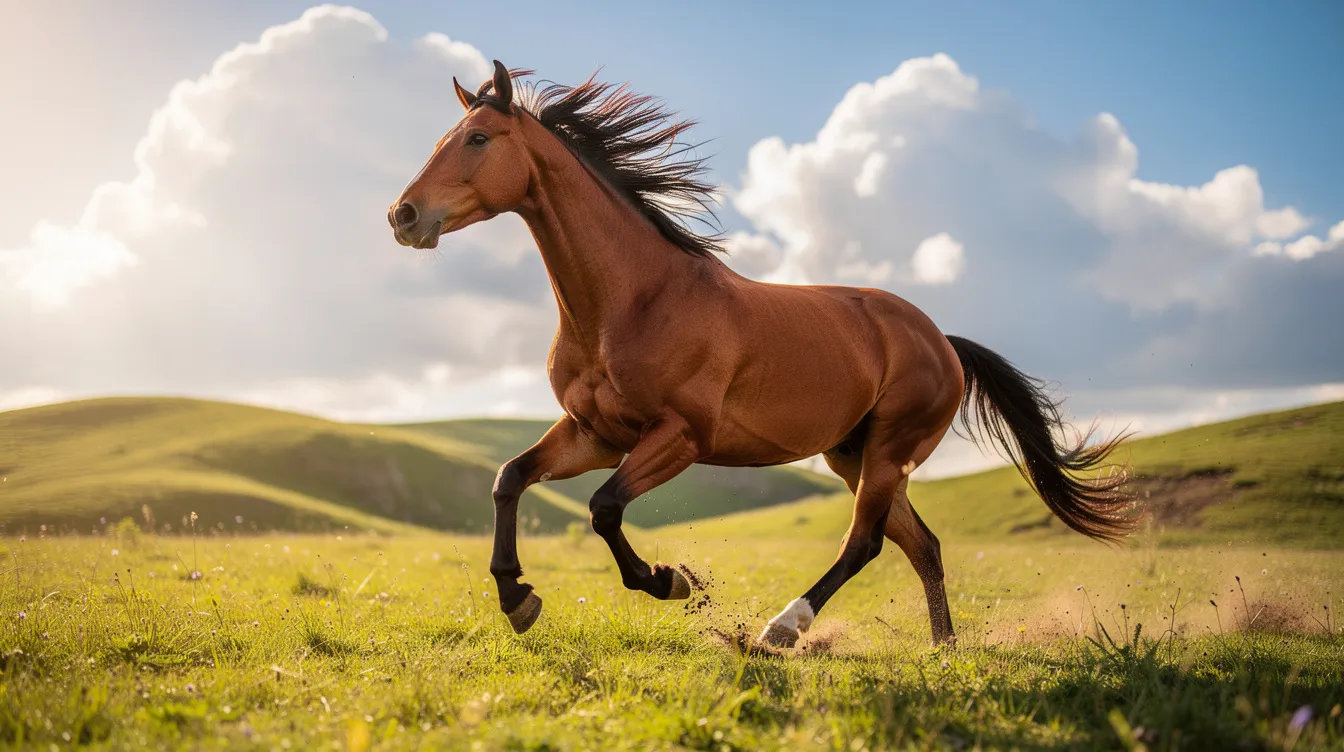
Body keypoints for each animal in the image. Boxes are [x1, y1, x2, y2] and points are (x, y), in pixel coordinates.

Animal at [388, 61, 1136, 647]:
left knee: (864, 543)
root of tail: (941, 341)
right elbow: (509, 478)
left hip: (889, 451)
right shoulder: (593, 433)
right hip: (855, 455)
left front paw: (669, 581)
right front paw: (518, 600)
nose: (404, 216)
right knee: (921, 544)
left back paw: (782, 628)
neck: (632, 300)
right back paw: (944, 648)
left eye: (478, 139)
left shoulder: (678, 437)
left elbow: (603, 507)